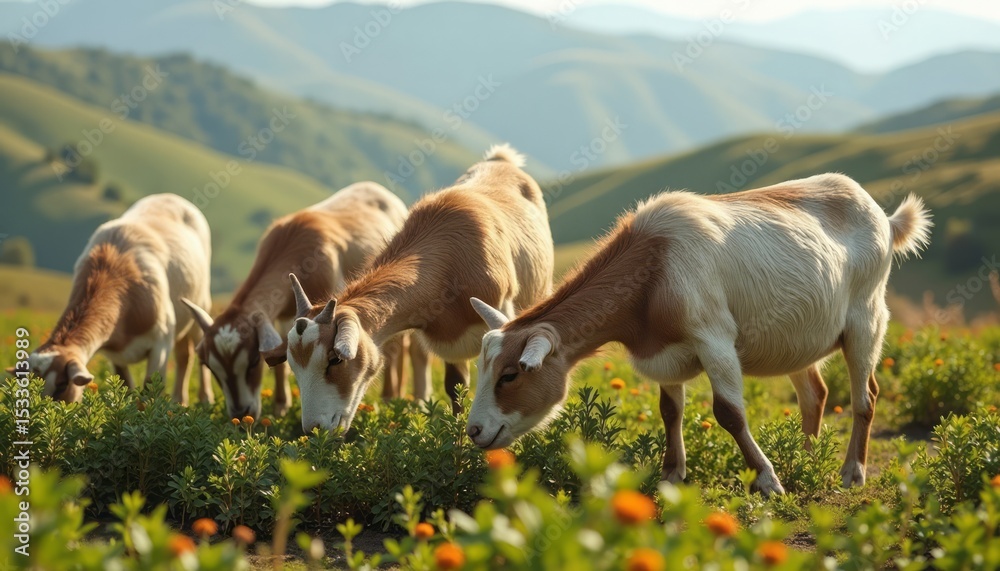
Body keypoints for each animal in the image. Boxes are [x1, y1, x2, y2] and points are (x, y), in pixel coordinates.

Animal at [21, 194, 214, 403]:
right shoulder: (115, 356)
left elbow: (150, 389)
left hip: (200, 309)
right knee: (184, 355)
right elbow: (126, 386)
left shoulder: (161, 344)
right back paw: (179, 401)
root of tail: (169, 196)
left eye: (62, 385)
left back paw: (205, 399)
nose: (44, 410)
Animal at [181, 182, 427, 419]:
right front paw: (281, 406)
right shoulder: (285, 316)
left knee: (399, 346)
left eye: (253, 362)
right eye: (211, 367)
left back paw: (394, 397)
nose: (241, 414)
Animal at [269, 145, 554, 433]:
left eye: (335, 359)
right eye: (294, 365)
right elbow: (455, 386)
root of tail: (501, 159)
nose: (314, 428)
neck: (450, 259)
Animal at [468, 174, 931, 495]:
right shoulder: (665, 354)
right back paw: (804, 460)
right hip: (798, 339)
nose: (473, 431)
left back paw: (852, 472)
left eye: (510, 374)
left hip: (867, 318)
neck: (655, 267)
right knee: (814, 394)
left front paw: (767, 480)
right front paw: (672, 475)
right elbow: (669, 411)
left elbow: (729, 413)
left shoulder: (715, 339)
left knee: (865, 397)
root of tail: (884, 217)